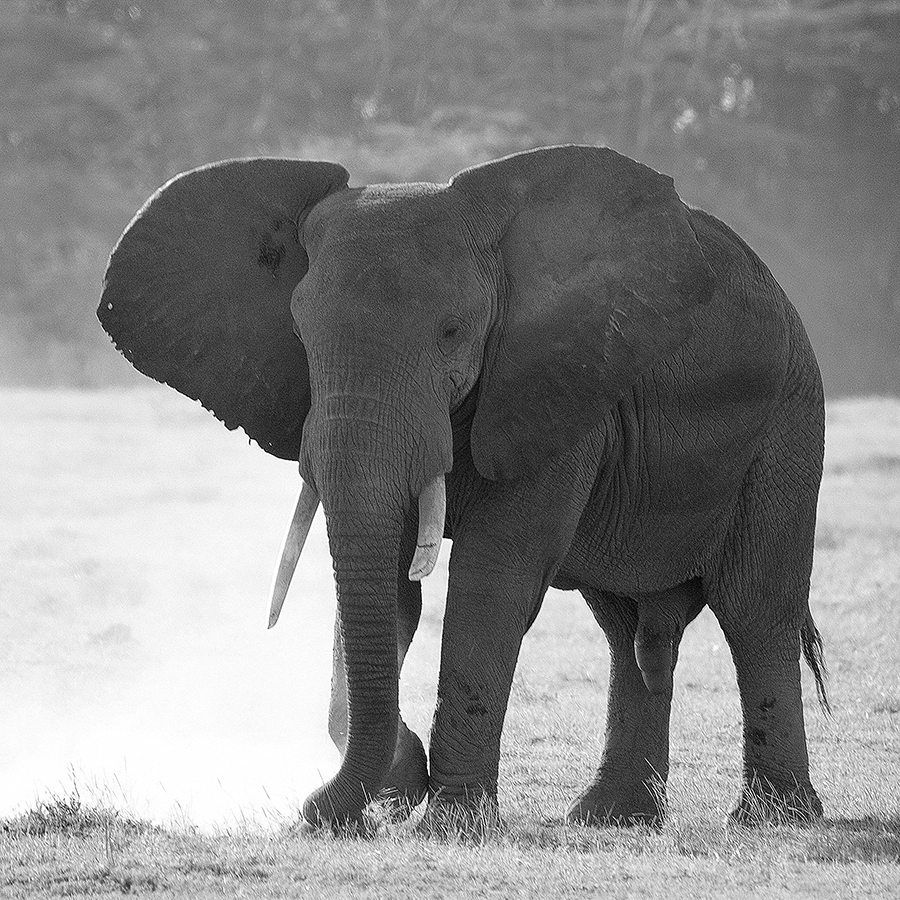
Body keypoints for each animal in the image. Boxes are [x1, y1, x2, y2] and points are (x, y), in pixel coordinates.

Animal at [100, 144, 828, 832]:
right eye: (301, 334)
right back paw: (611, 816)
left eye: (451, 332)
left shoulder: (551, 384)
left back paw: (773, 819)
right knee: (628, 629)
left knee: (754, 607)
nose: (315, 810)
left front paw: (448, 820)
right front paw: (392, 787)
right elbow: (389, 587)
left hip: (789, 425)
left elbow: (492, 579)